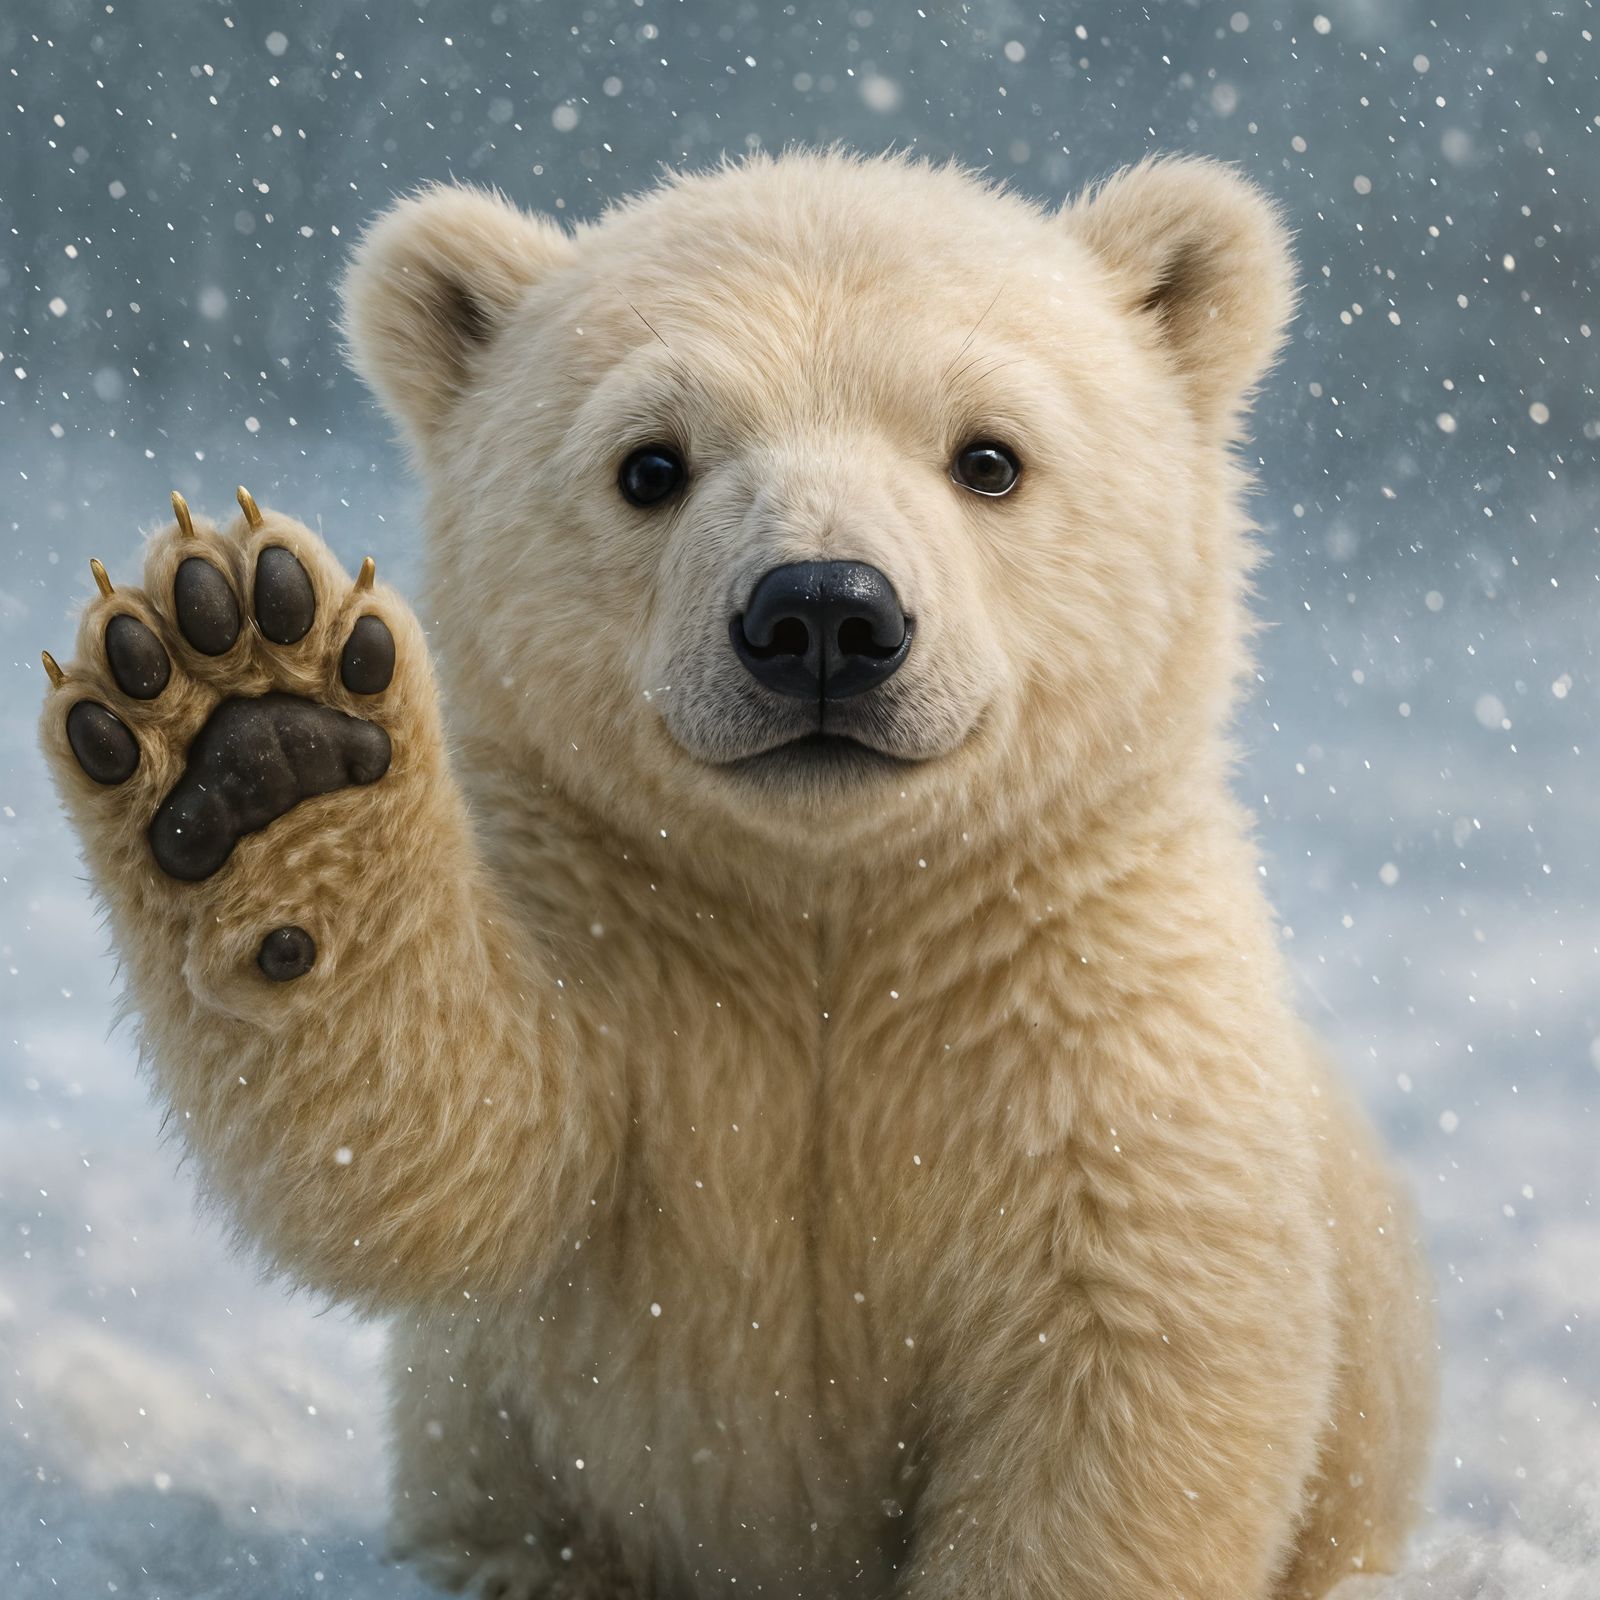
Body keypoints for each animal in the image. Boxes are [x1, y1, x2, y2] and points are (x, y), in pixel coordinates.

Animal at [39, 151, 1436, 1599]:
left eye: (989, 456)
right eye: (650, 464)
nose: (823, 612)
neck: (827, 901)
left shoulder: (1084, 1011)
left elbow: (1129, 1370)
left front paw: (261, 729)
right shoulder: (621, 950)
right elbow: (449, 1146)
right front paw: (252, 725)